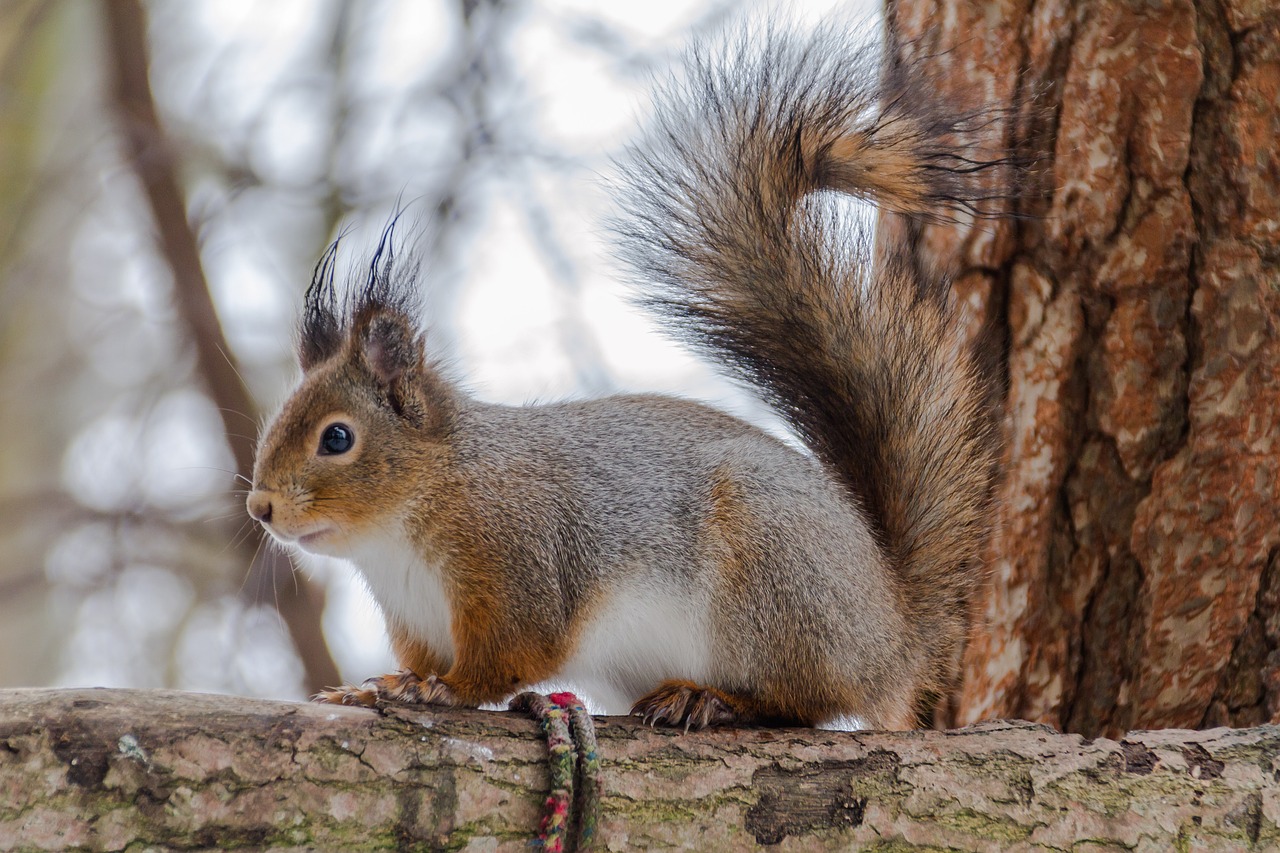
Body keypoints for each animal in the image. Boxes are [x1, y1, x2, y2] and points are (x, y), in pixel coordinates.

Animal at [241, 23, 998, 727]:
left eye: (337, 438)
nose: (261, 508)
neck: (419, 505)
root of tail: (892, 634)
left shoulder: (519, 566)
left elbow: (510, 657)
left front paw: (445, 690)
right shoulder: (416, 616)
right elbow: (423, 659)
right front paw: (382, 685)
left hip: (776, 585)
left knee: (805, 699)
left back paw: (711, 698)